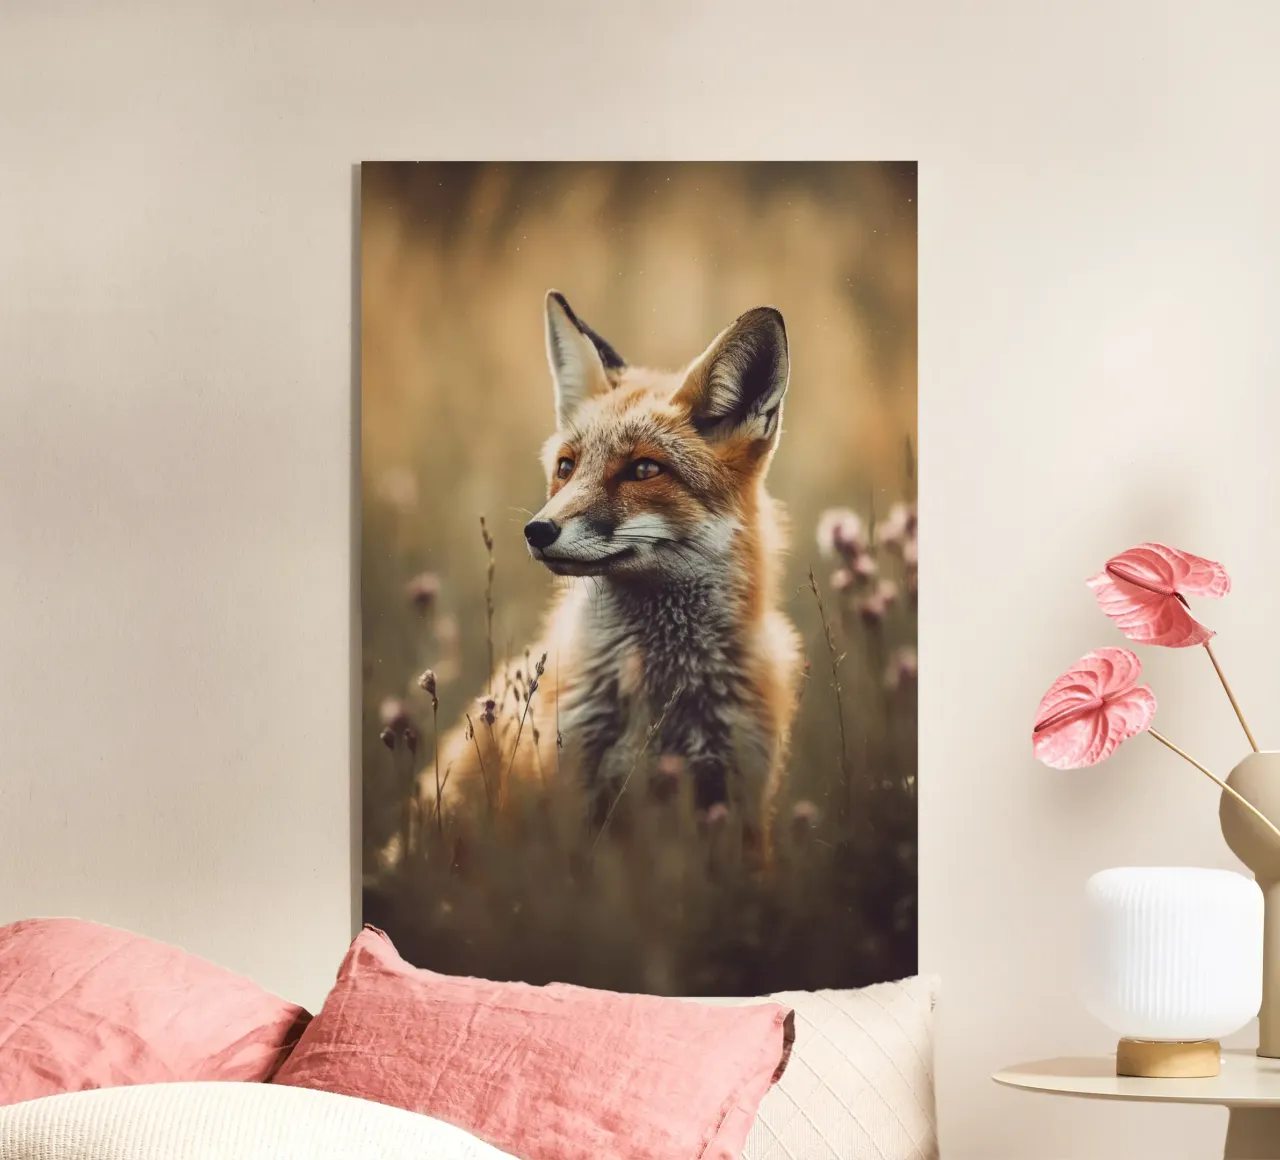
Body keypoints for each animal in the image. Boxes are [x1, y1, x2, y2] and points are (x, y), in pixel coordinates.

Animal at [413, 291, 803, 852]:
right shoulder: (571, 791)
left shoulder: (738, 798)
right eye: (567, 466)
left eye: (644, 469)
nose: (537, 530)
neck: (662, 694)